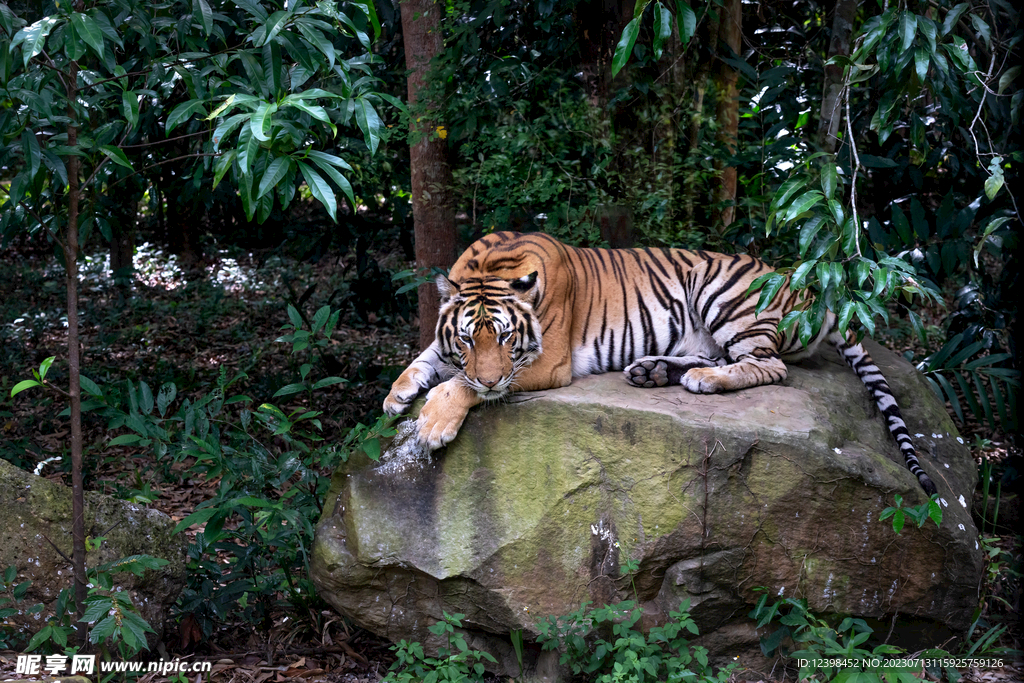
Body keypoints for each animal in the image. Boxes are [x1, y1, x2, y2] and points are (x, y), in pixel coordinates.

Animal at [383, 231, 937, 495]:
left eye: (504, 337)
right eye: (466, 338)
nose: (488, 373)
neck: (491, 265)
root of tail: (798, 283)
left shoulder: (547, 363)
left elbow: (462, 384)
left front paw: (433, 422)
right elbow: (428, 359)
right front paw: (397, 395)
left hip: (719, 290)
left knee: (768, 367)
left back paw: (702, 381)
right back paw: (652, 371)